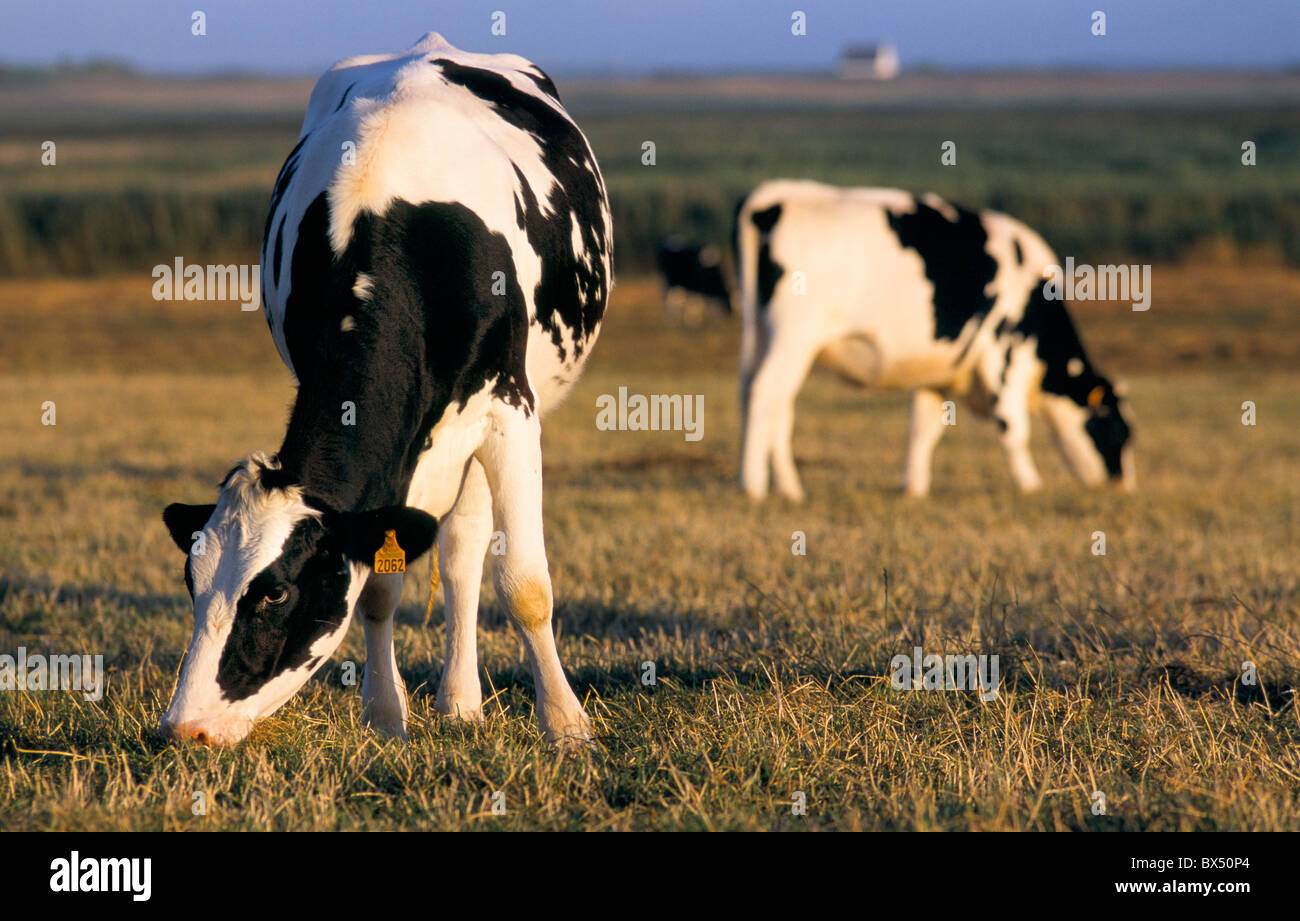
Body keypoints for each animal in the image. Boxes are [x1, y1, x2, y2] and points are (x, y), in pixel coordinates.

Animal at [158, 32, 613, 744]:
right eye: (192, 582)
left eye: (274, 593)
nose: (184, 728)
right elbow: (378, 584)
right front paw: (384, 715)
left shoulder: (511, 410)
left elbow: (525, 583)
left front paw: (566, 726)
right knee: (458, 550)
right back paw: (459, 702)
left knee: (464, 552)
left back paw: (463, 701)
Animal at [738, 179, 1133, 504]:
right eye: (1119, 431)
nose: (1126, 485)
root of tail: (771, 198)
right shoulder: (1002, 353)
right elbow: (1012, 427)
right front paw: (1030, 485)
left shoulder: (938, 374)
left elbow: (923, 430)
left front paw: (913, 487)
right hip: (793, 337)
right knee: (765, 394)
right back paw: (754, 485)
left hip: (764, 337)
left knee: (770, 400)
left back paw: (786, 487)